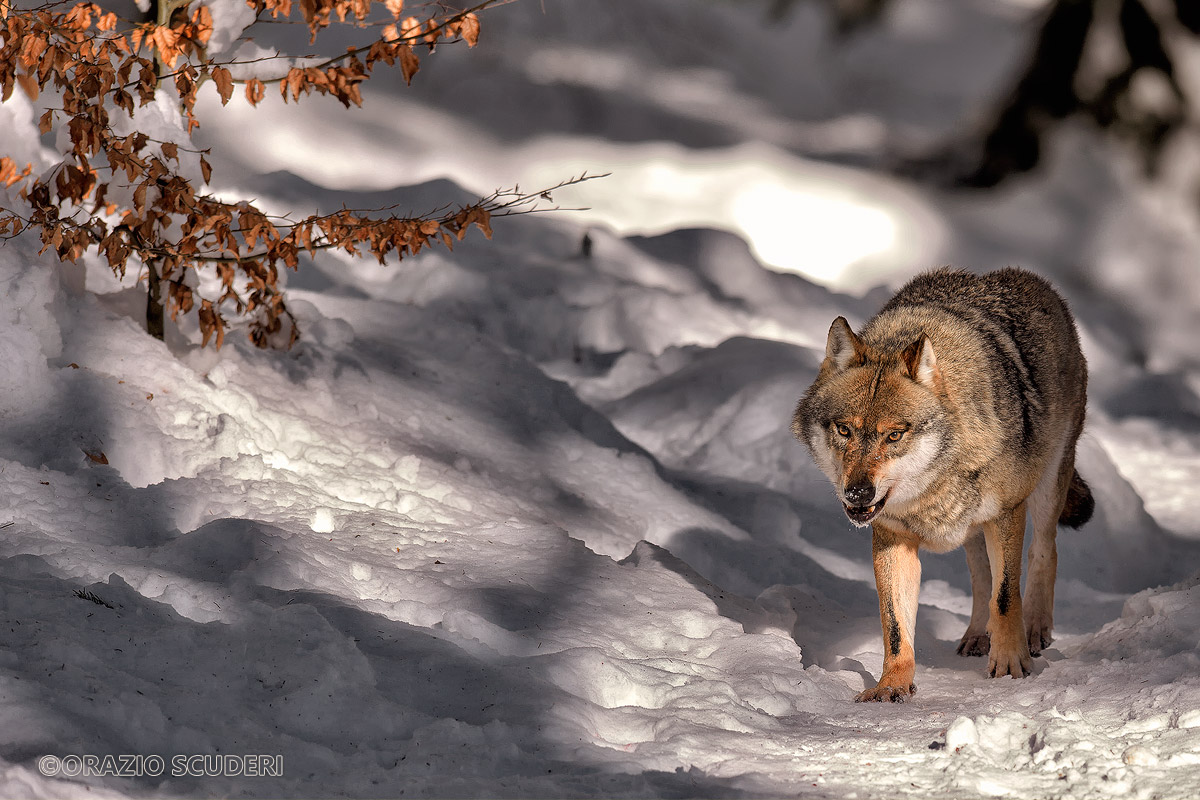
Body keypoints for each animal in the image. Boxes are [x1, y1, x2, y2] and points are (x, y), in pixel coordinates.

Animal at [792, 267, 1093, 702]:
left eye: (894, 435)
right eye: (845, 430)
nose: (857, 494)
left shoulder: (1006, 514)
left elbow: (1007, 596)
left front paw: (1010, 666)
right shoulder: (892, 537)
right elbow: (895, 626)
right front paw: (892, 686)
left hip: (1046, 489)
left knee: (1044, 551)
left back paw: (1036, 629)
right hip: (972, 528)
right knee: (980, 575)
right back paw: (977, 635)